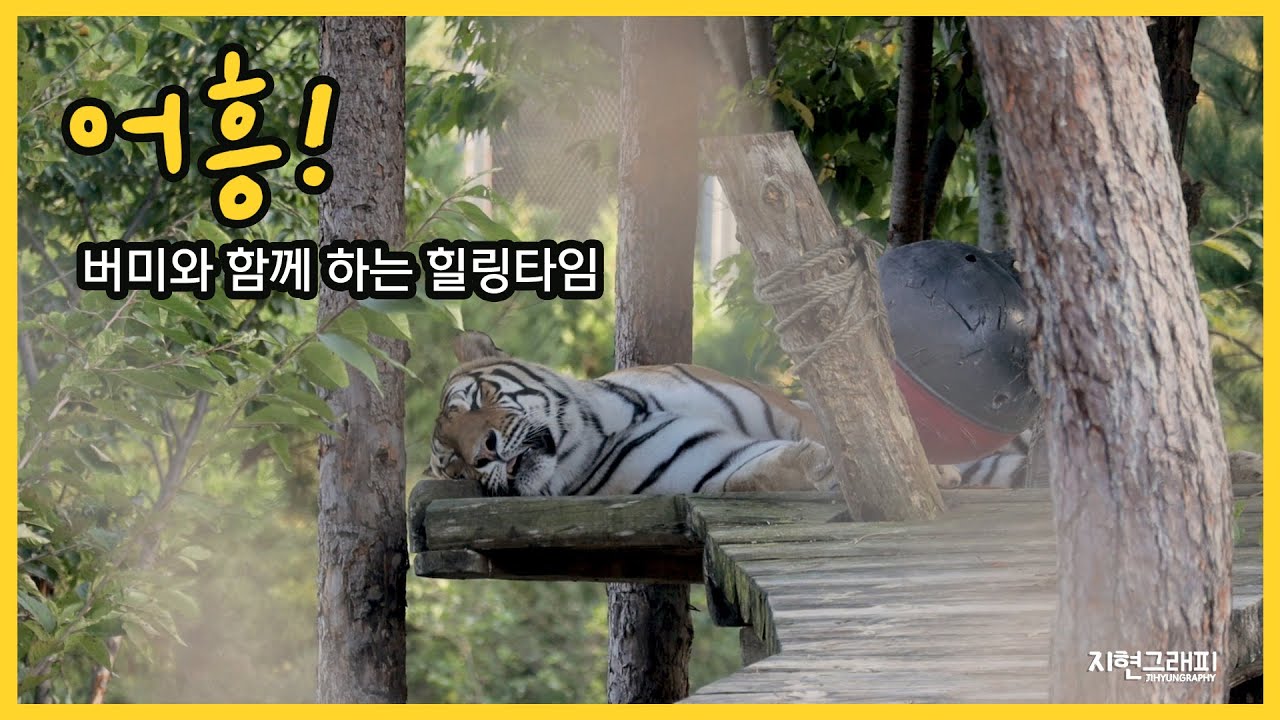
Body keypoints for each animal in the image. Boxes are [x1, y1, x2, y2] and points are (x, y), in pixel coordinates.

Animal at [427, 331, 1034, 497]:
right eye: (453, 466)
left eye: (478, 400)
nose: (483, 457)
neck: (599, 432)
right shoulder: (700, 464)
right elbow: (751, 470)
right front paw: (809, 468)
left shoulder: (790, 412)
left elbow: (844, 435)